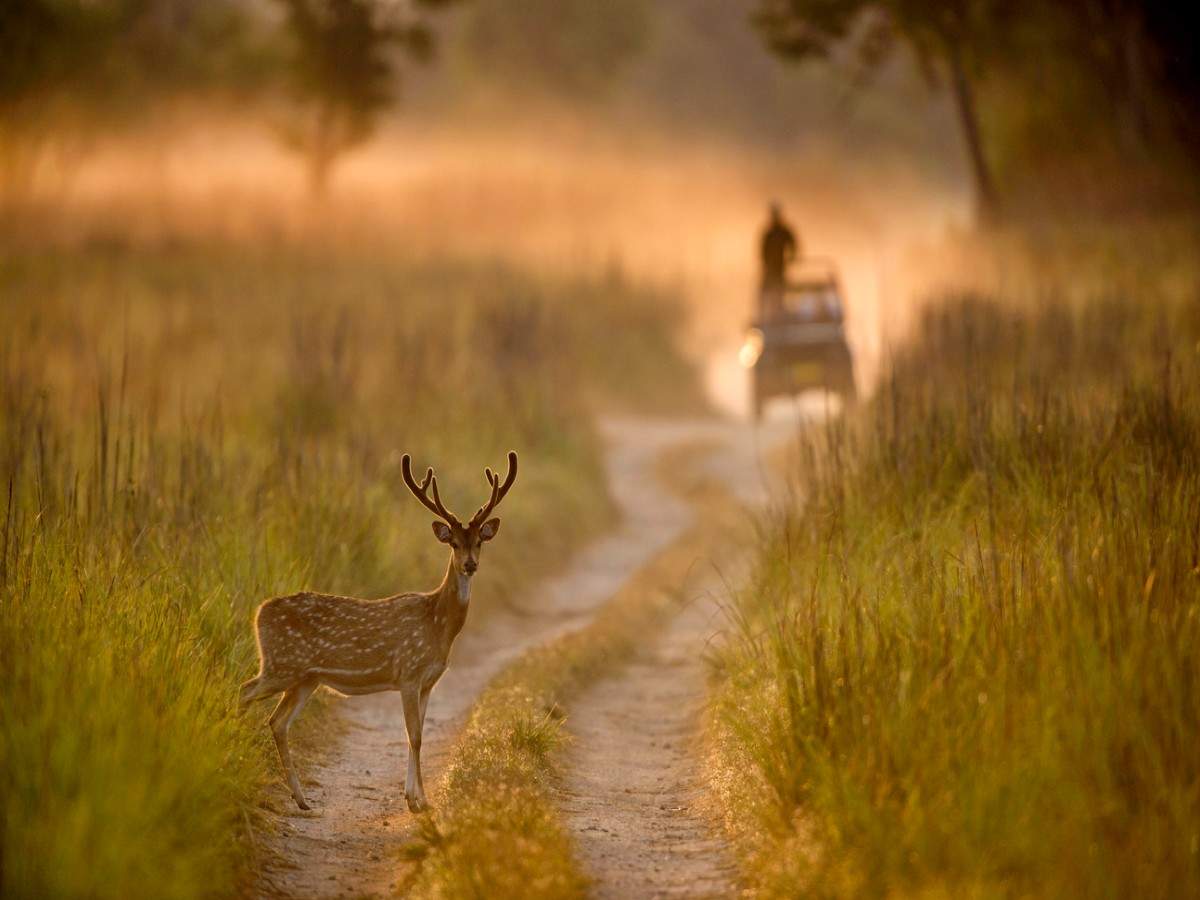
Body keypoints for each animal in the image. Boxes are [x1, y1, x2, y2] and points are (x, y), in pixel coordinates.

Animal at [238, 451, 516, 811]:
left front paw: (416, 797)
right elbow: (414, 735)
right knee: (245, 691)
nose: (470, 564)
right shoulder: (409, 672)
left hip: (306, 678)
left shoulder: (428, 682)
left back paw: (301, 799)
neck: (438, 625)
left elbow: (418, 734)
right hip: (281, 664)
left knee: (277, 722)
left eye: (480, 541)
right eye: (453, 543)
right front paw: (418, 802)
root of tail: (259, 612)